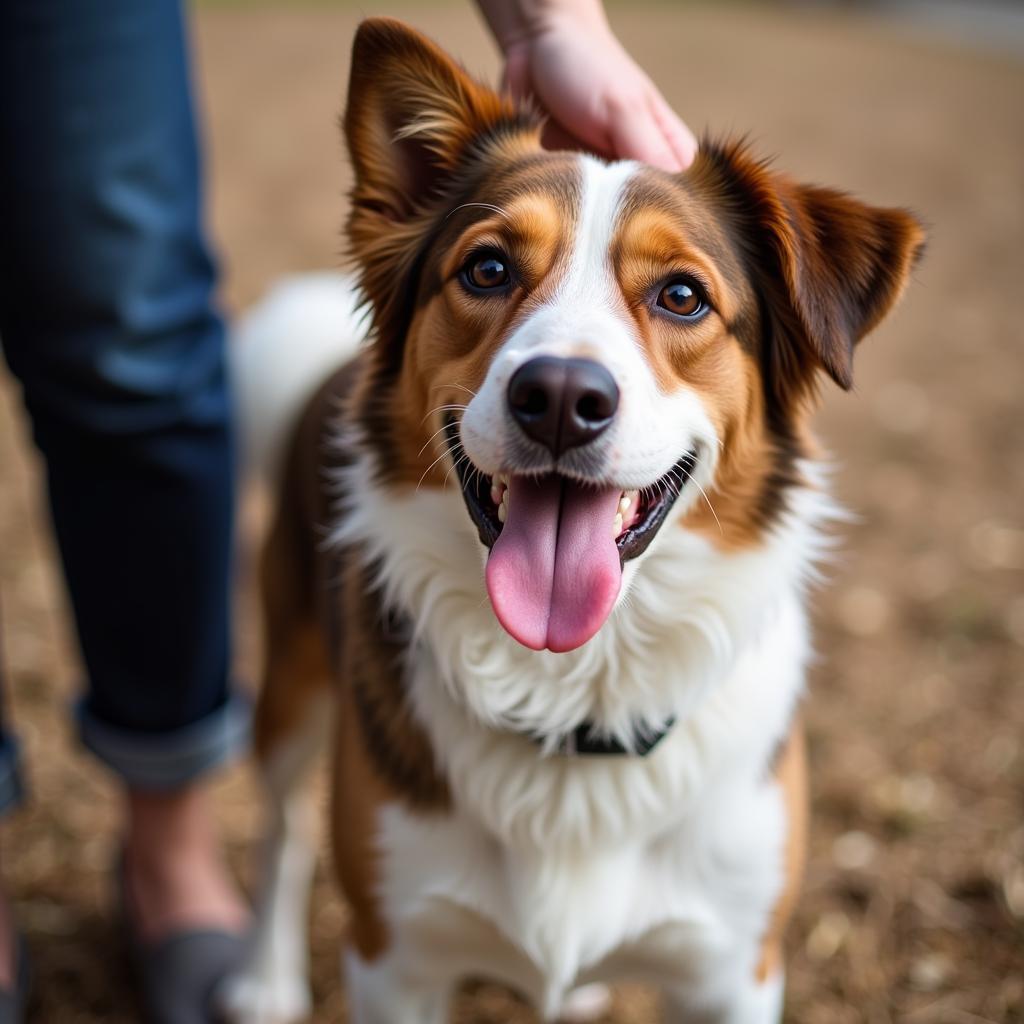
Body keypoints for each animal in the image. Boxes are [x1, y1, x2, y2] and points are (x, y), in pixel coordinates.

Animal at [224, 16, 929, 1024]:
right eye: (486, 269)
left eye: (682, 295)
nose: (559, 397)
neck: (577, 691)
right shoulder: (397, 959)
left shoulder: (734, 970)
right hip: (293, 672)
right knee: (281, 828)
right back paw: (264, 976)